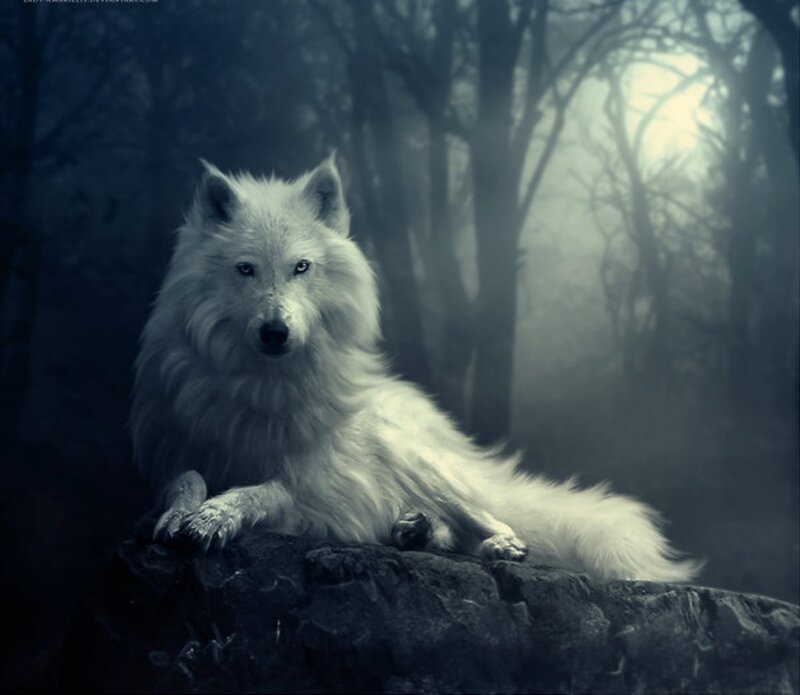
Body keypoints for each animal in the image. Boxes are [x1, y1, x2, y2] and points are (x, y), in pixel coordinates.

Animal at [131, 156, 700, 582]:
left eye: (301, 267)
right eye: (245, 269)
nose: (276, 332)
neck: (262, 386)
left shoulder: (313, 487)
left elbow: (260, 491)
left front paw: (215, 516)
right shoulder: (172, 452)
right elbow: (185, 479)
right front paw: (182, 513)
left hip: (419, 462)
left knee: (495, 520)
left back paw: (496, 545)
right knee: (442, 529)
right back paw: (414, 530)